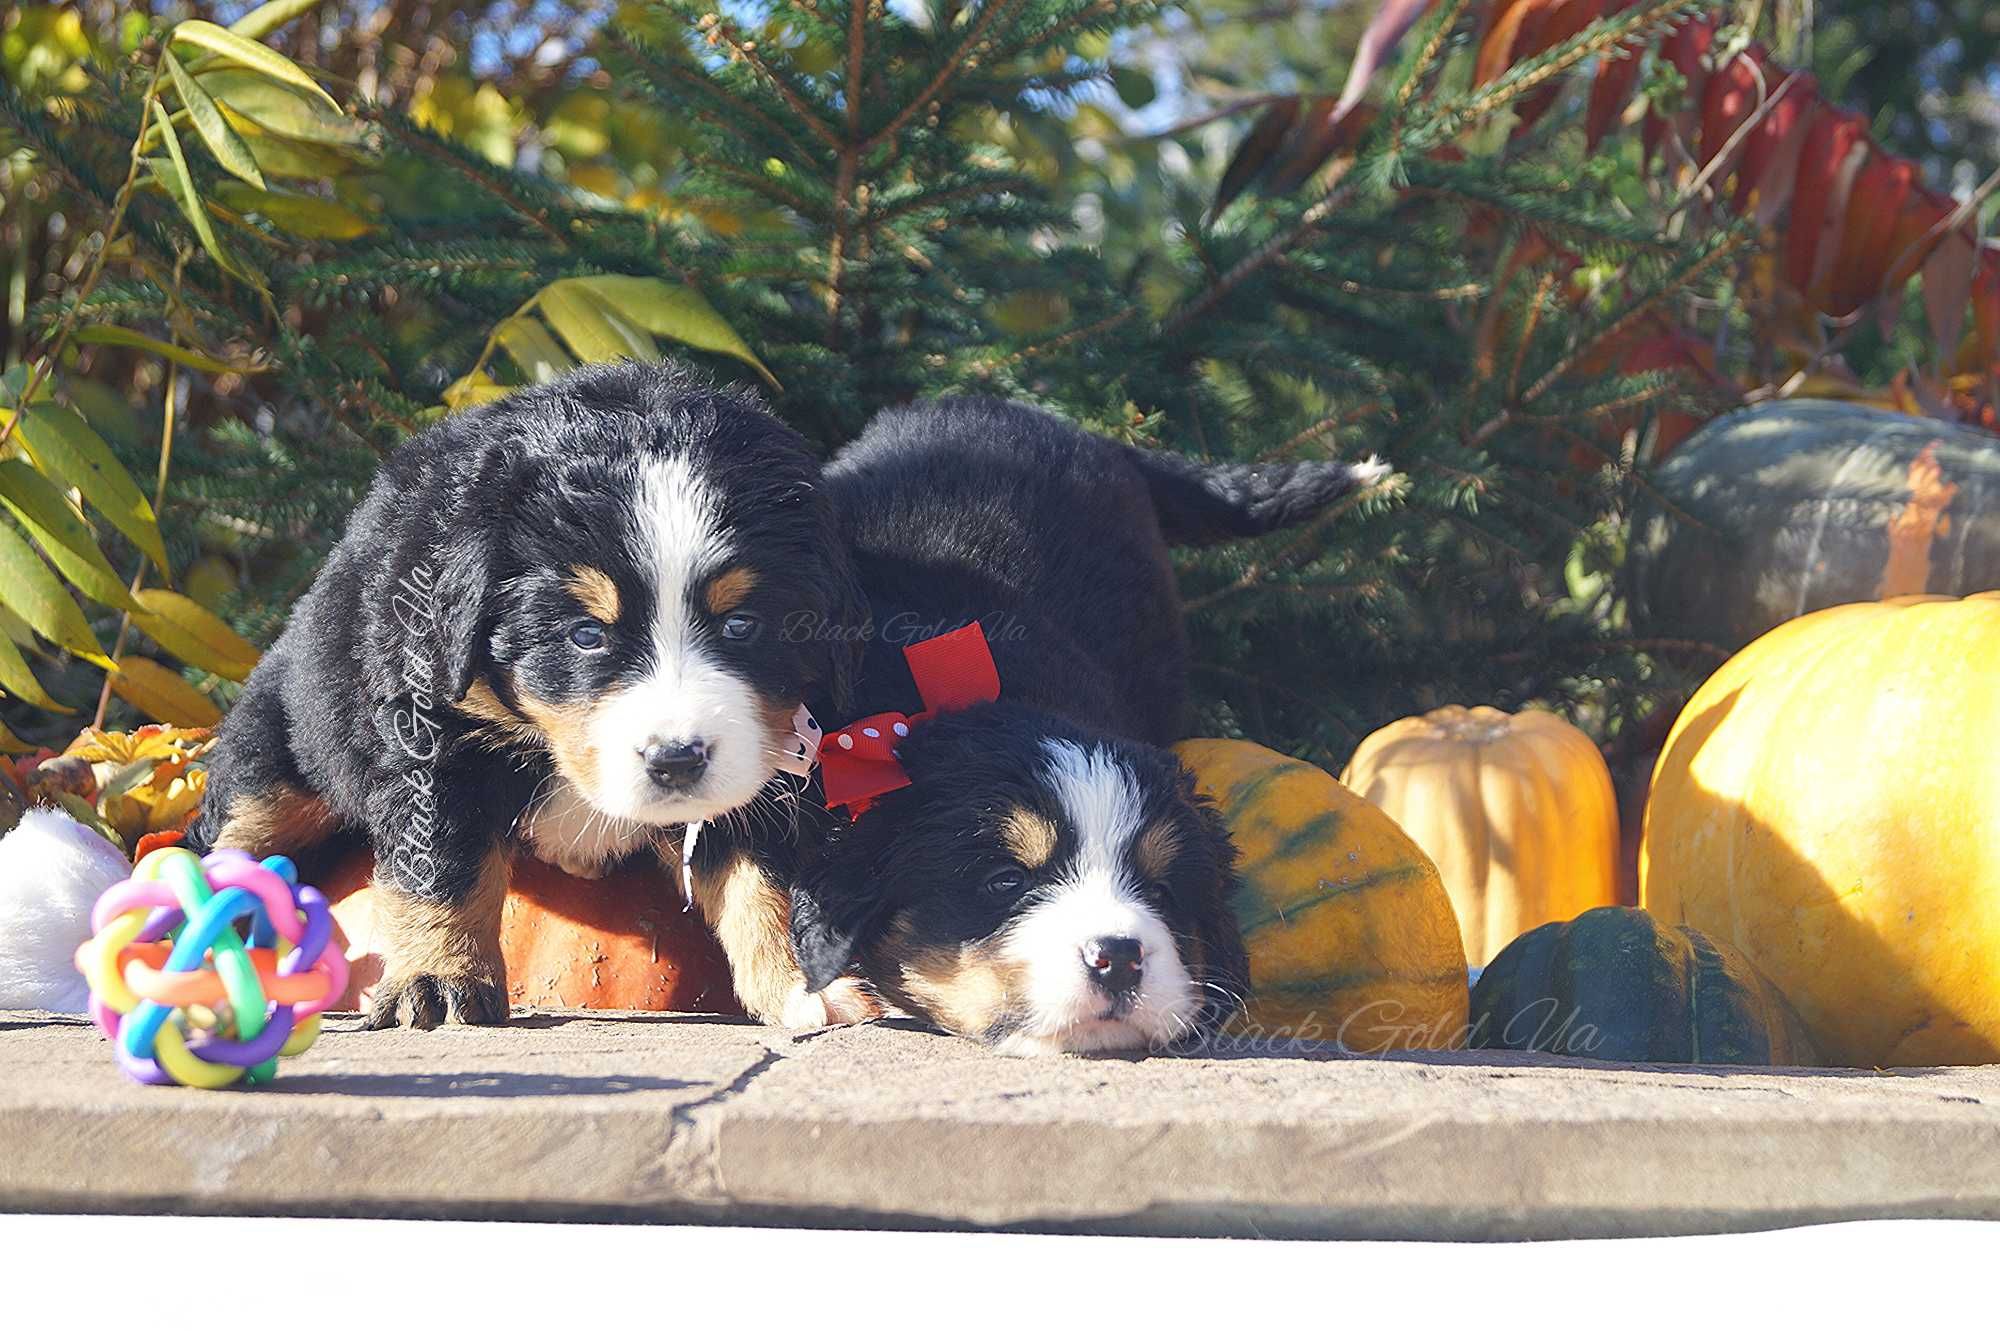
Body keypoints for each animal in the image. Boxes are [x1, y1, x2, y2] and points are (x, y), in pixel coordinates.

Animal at [188, 359, 868, 1023]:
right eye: (586, 635)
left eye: (741, 625)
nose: (675, 760)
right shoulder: (431, 735)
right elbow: (442, 867)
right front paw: (439, 977)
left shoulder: (769, 754)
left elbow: (764, 880)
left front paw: (804, 986)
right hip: (280, 751)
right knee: (240, 836)